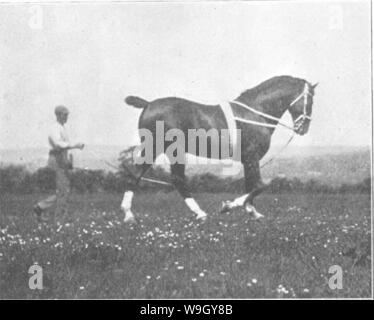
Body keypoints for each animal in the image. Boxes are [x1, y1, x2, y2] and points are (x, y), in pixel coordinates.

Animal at [119, 76, 316, 224]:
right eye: (310, 100)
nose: (303, 128)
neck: (256, 113)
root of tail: (148, 104)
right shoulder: (252, 157)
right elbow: (259, 185)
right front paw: (228, 206)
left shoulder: (248, 160)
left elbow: (251, 185)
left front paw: (252, 212)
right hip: (158, 147)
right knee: (147, 174)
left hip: (168, 151)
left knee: (167, 178)